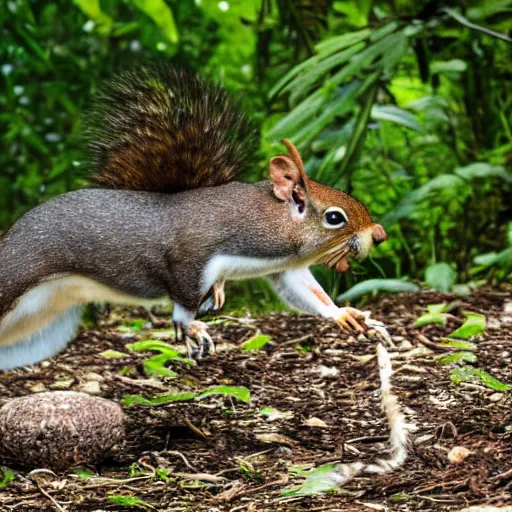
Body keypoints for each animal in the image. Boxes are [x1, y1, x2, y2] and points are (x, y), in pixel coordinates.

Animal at [0, 66, 384, 370]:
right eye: (335, 217)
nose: (378, 234)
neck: (268, 221)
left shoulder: (283, 268)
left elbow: (305, 291)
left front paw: (344, 314)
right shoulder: (191, 256)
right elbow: (182, 298)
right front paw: (193, 328)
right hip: (16, 276)